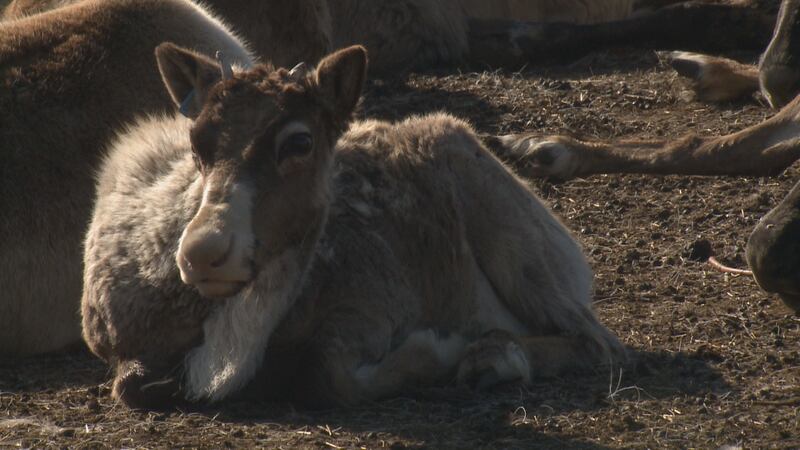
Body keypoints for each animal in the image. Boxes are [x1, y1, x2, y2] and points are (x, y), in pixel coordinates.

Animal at [80, 44, 624, 409]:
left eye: (300, 141)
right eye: (198, 141)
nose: (204, 253)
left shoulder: (369, 310)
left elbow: (328, 376)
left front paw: (442, 347)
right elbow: (131, 384)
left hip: (521, 256)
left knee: (600, 342)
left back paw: (494, 357)